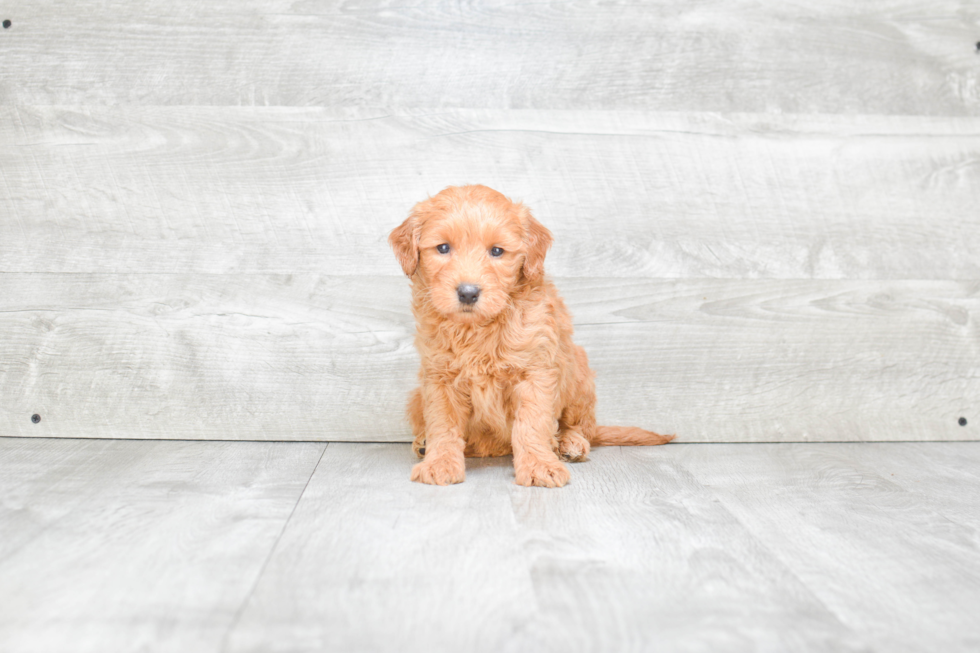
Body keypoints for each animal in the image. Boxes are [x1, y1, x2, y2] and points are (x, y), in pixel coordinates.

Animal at [390, 183, 672, 484]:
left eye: (497, 251)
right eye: (443, 248)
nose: (468, 292)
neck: (478, 329)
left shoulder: (535, 373)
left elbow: (532, 424)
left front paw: (538, 465)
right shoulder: (439, 377)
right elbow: (443, 425)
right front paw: (440, 463)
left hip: (579, 375)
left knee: (583, 427)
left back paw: (570, 443)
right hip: (416, 397)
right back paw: (424, 444)